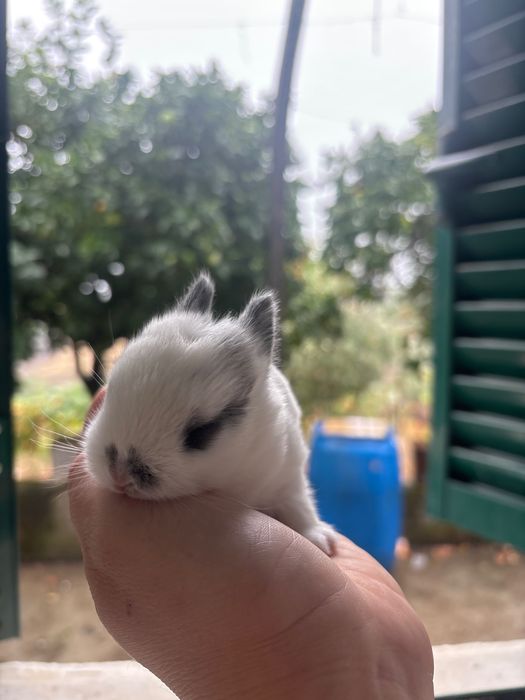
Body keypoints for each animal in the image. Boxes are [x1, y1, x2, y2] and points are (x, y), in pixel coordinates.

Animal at [84, 273, 337, 555]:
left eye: (201, 431)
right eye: (111, 393)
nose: (119, 476)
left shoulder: (289, 472)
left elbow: (299, 504)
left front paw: (320, 540)